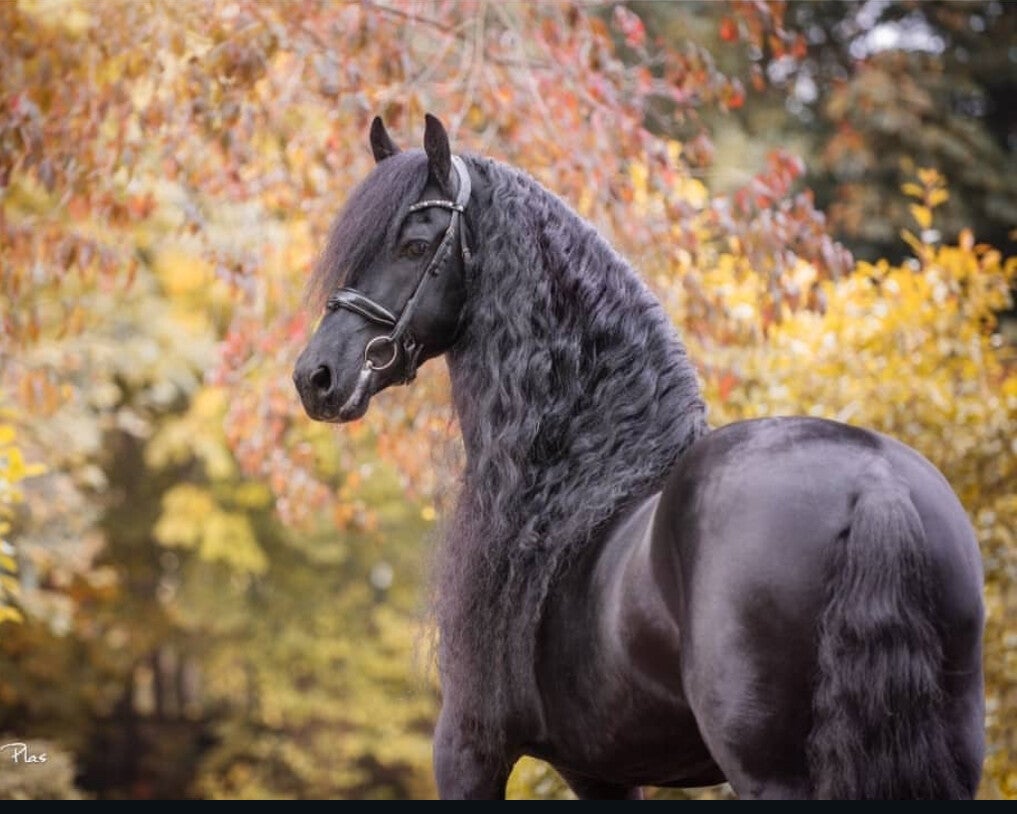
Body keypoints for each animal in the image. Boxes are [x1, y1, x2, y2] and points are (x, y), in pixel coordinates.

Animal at [292, 114, 986, 800]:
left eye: (414, 246)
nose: (315, 377)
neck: (589, 472)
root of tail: (874, 483)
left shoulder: (469, 749)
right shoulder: (604, 774)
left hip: (770, 773)